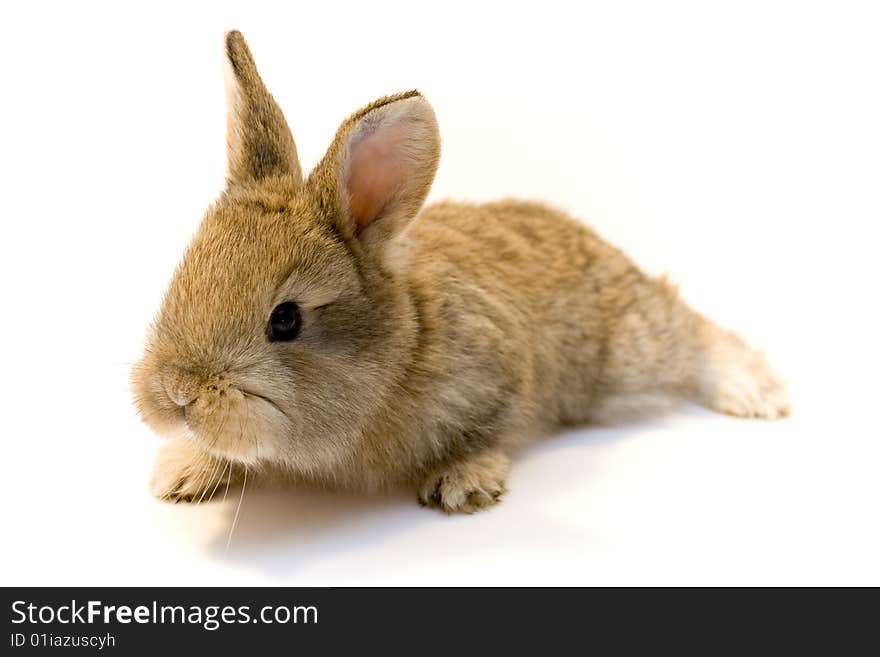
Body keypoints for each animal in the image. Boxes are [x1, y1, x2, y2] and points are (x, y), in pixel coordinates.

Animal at [131, 30, 792, 512]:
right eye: (181, 277)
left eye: (286, 320)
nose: (178, 394)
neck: (399, 350)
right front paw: (182, 475)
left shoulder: (499, 375)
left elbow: (494, 430)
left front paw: (462, 484)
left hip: (628, 356)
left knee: (693, 331)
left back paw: (757, 394)